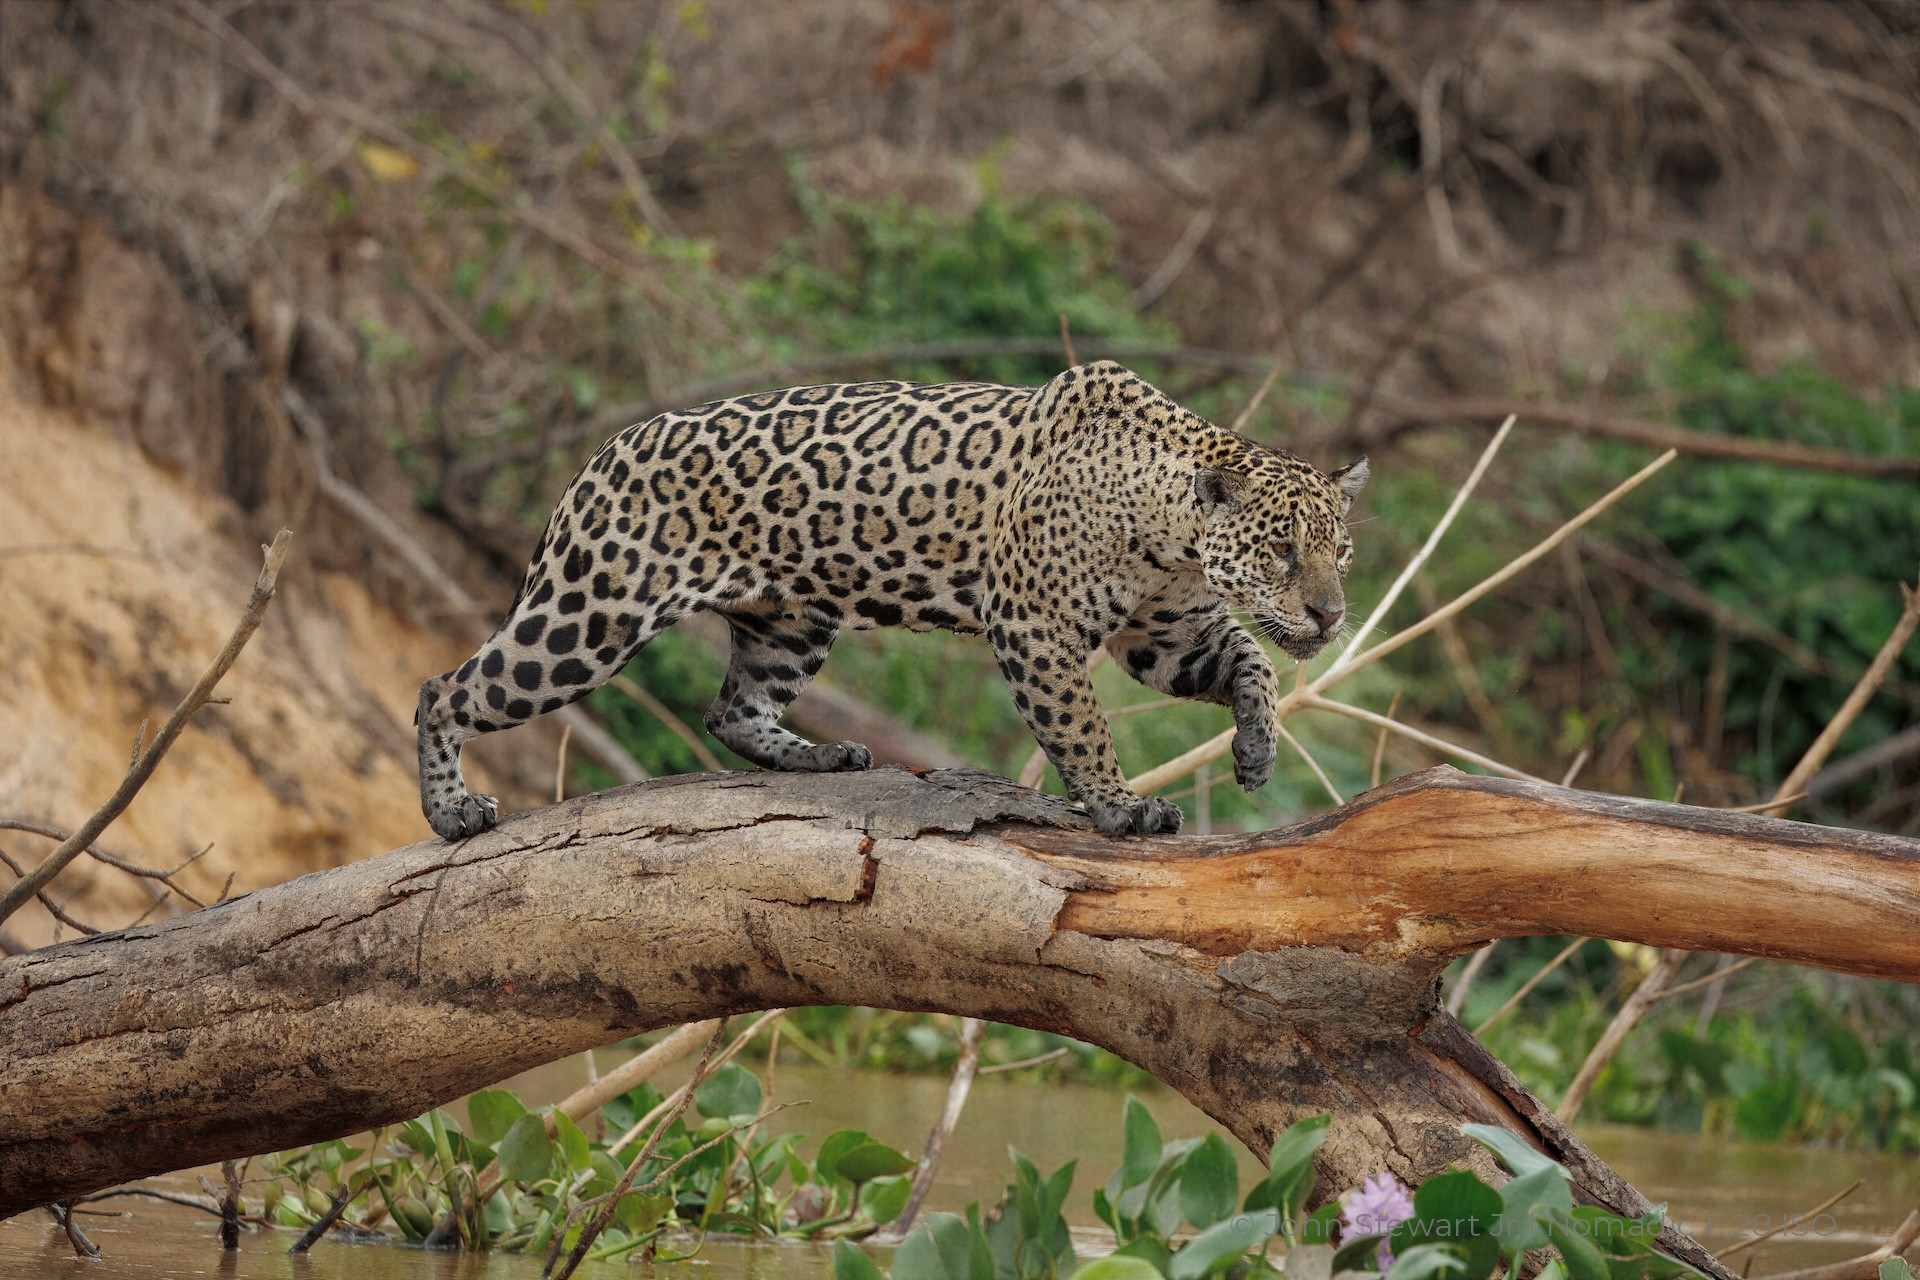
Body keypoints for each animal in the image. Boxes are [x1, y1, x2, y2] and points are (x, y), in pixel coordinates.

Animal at [416, 360, 1367, 840]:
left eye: (1341, 552)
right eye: (1283, 552)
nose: (1329, 615)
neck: (1171, 533)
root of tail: (599, 454)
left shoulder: (1166, 635)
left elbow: (1251, 661)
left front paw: (1256, 753)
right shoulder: (1035, 624)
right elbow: (1082, 724)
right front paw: (1119, 805)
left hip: (792, 619)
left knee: (732, 710)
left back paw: (823, 757)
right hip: (590, 615)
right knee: (445, 690)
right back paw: (453, 812)